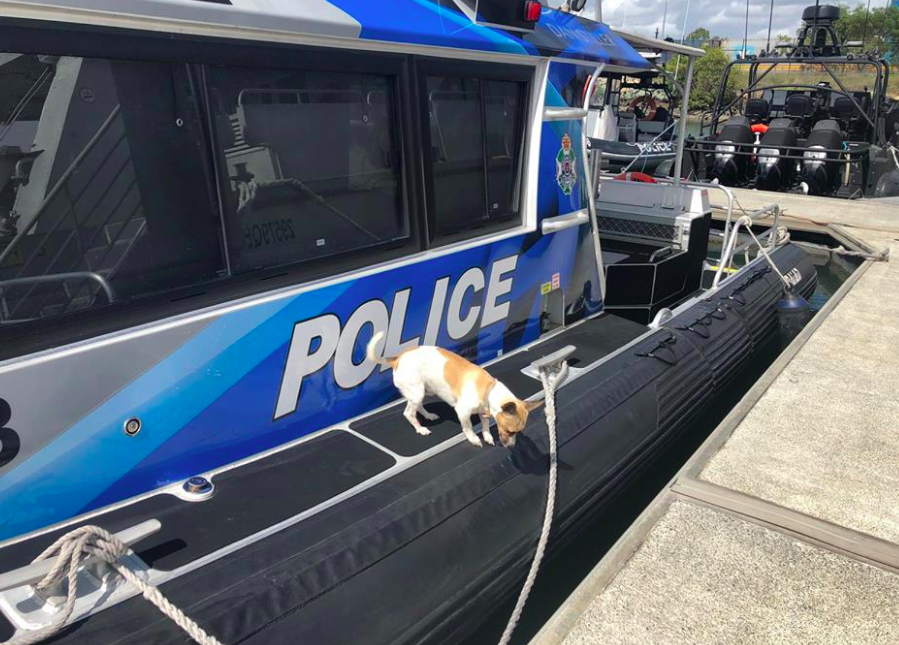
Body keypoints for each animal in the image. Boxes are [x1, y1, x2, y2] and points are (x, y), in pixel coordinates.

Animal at [368, 330, 540, 446]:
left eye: (516, 432)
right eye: (511, 432)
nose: (511, 446)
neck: (489, 389)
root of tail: (397, 359)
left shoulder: (484, 412)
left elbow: (485, 425)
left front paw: (487, 437)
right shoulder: (463, 412)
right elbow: (468, 427)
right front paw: (474, 439)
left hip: (420, 391)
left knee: (418, 407)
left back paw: (429, 415)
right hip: (416, 392)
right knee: (409, 413)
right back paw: (421, 429)